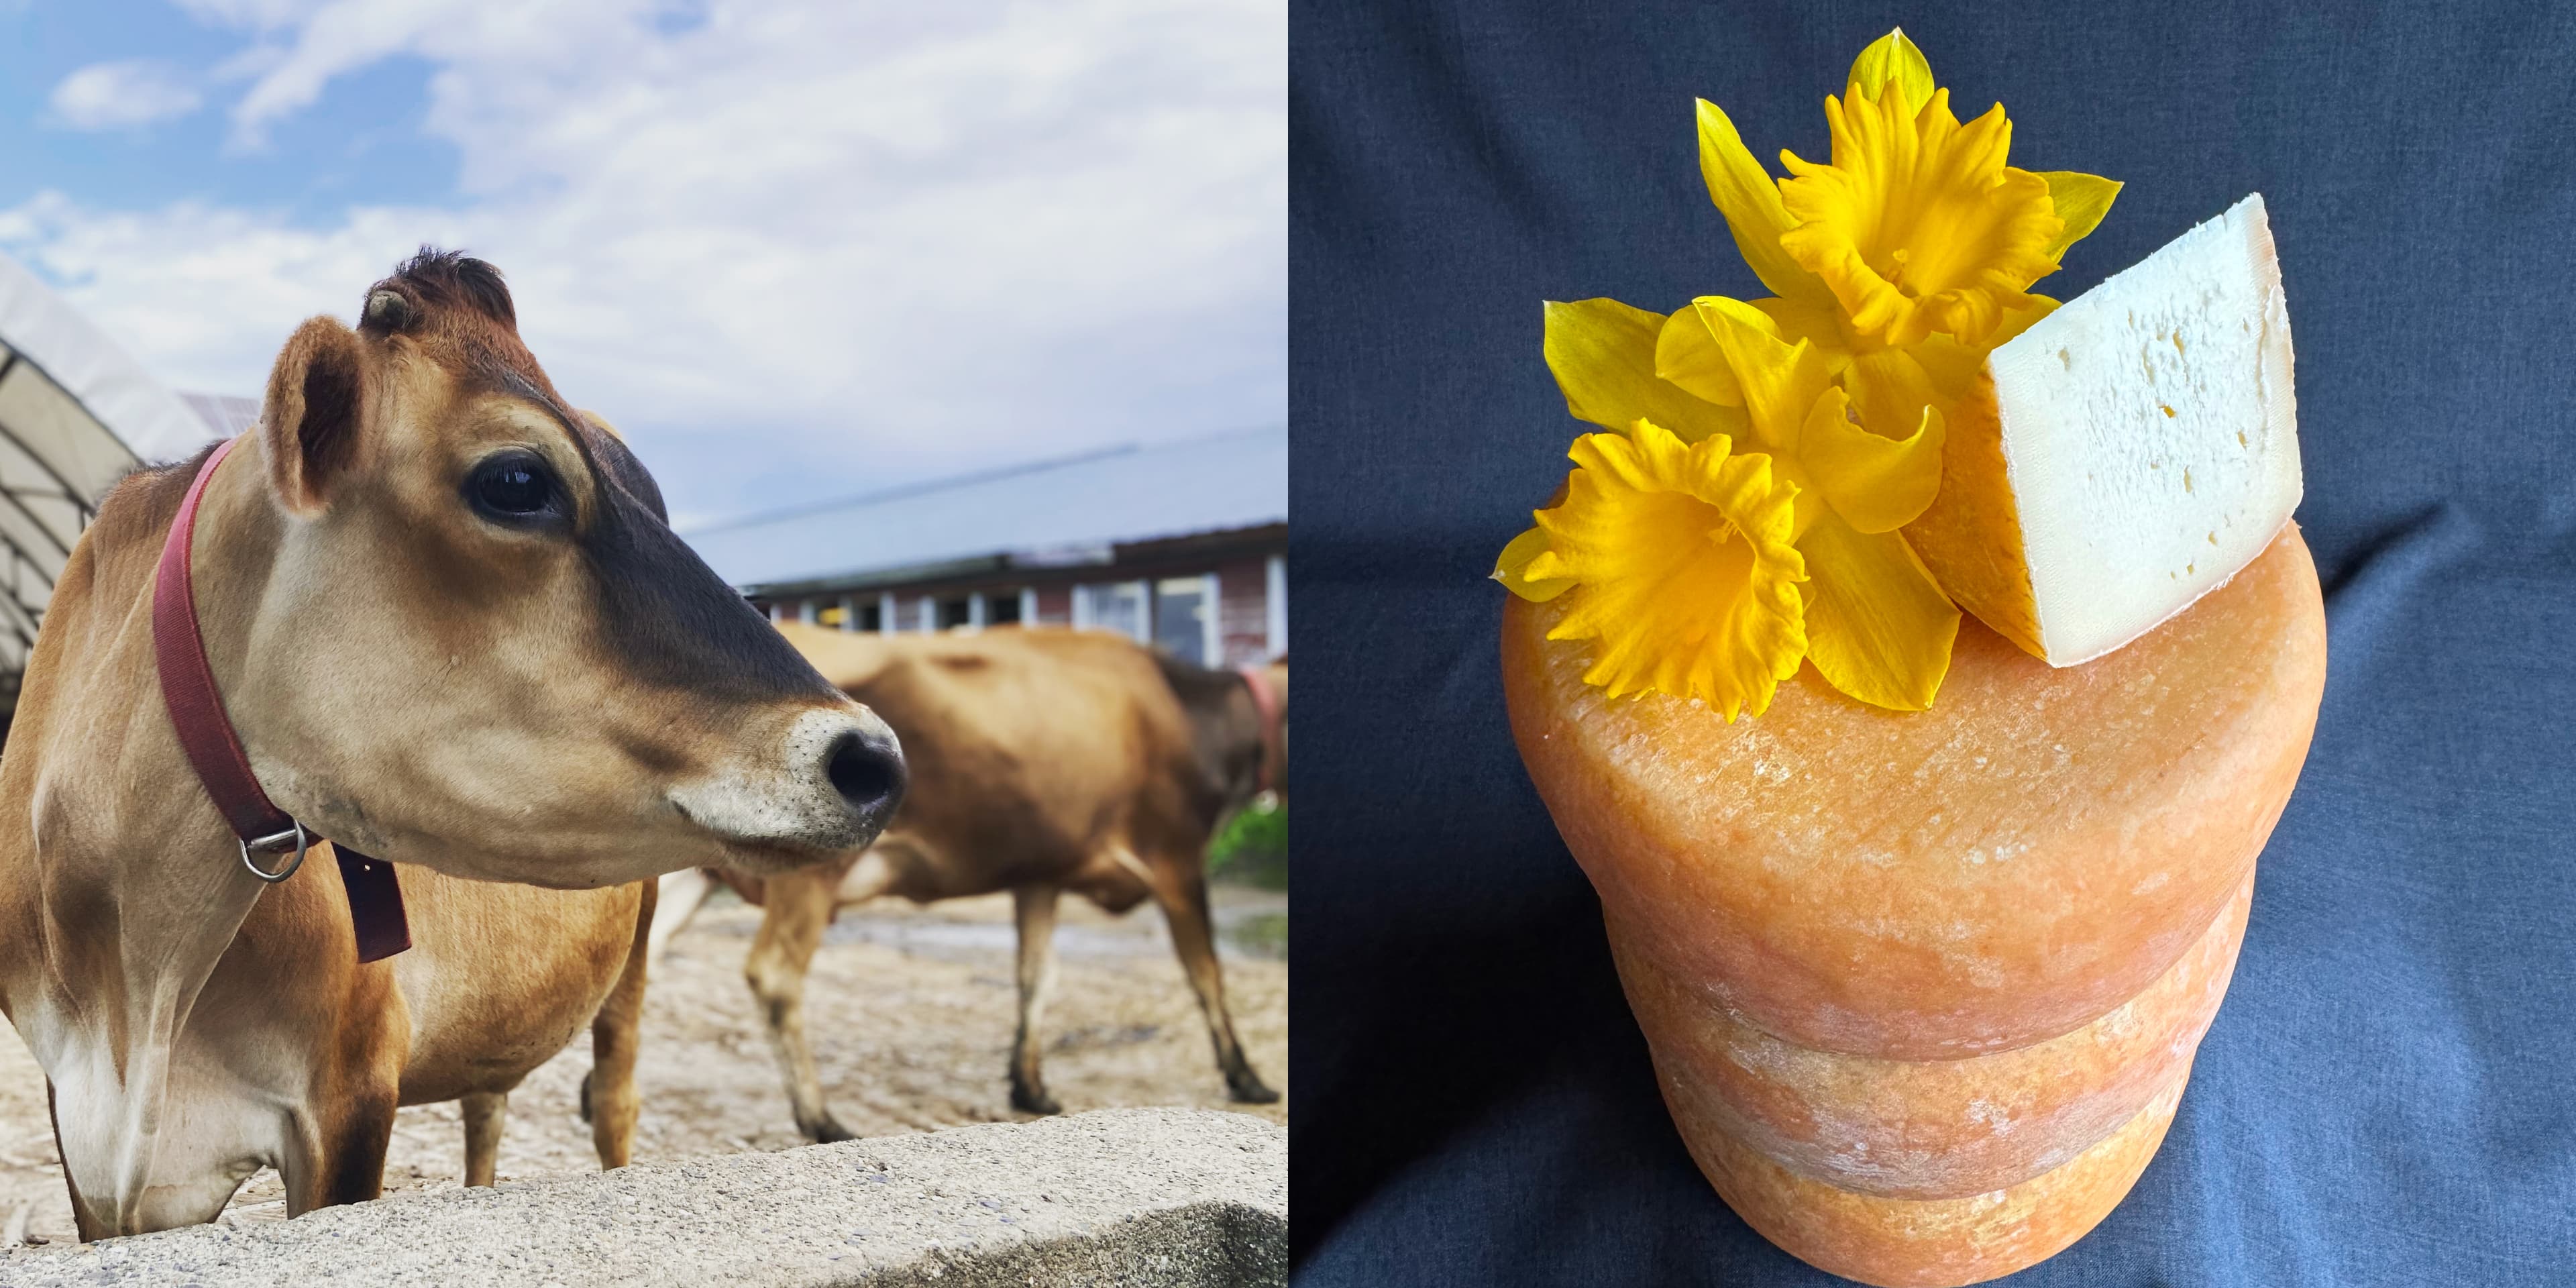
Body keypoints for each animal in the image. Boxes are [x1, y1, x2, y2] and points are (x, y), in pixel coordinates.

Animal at [0, 248, 906, 1236]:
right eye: (516, 481)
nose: (875, 760)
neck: (136, 989)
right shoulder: (91, 1144)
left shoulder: (351, 1089)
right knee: (489, 1104)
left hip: (634, 955)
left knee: (614, 1099)